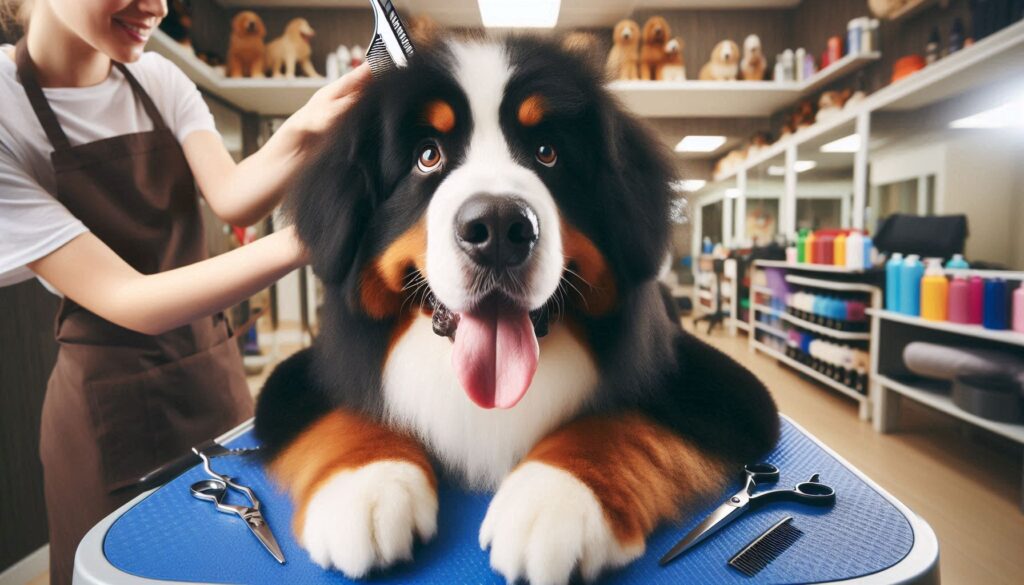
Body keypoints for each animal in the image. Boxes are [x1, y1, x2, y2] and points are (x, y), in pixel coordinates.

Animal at [253, 34, 774, 581]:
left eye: (548, 153)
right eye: (427, 155)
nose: (499, 228)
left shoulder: (719, 389)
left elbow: (616, 421)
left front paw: (552, 502)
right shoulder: (305, 374)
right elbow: (351, 413)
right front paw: (367, 487)